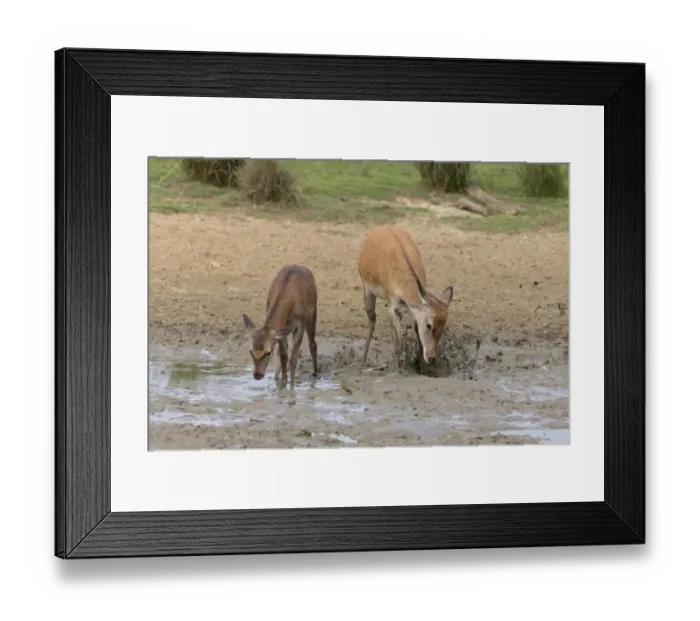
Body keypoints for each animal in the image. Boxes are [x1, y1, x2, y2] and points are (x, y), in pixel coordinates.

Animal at [357, 225, 454, 372]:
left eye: (443, 327)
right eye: (429, 325)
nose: (432, 358)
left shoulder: (411, 311)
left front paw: (422, 369)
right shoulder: (392, 307)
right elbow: (398, 345)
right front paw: (397, 372)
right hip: (367, 290)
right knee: (372, 321)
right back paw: (363, 361)